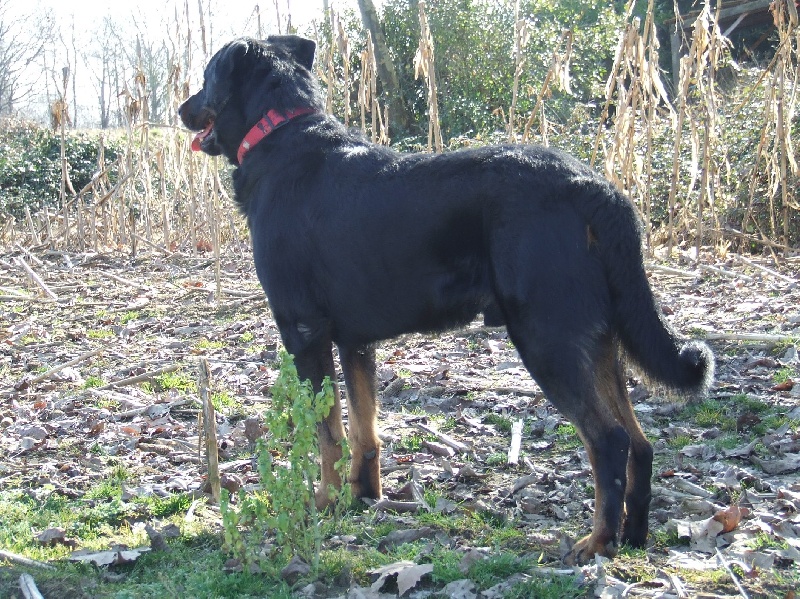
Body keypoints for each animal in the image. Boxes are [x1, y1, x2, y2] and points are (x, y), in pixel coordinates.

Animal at [180, 36, 712, 564]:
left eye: (205, 76)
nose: (182, 109)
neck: (279, 134)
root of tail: (596, 188)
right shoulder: (355, 341)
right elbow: (364, 431)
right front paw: (363, 498)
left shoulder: (305, 332)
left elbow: (327, 434)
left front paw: (324, 504)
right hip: (600, 338)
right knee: (639, 443)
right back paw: (633, 536)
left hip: (548, 338)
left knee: (609, 440)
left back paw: (598, 541)